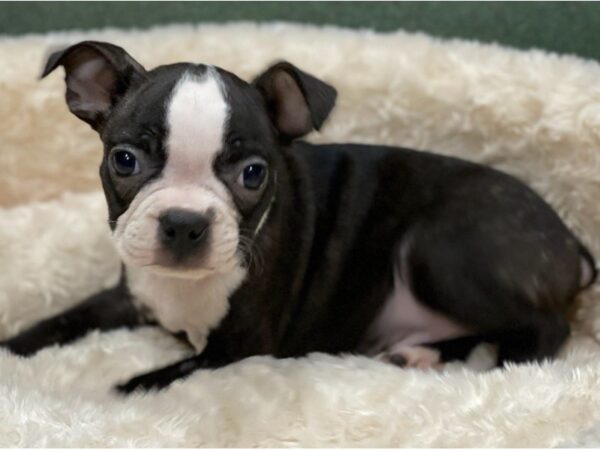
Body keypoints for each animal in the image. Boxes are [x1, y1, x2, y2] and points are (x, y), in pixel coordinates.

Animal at [3, 41, 596, 394]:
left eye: (252, 174)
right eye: (124, 160)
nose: (184, 222)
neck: (184, 287)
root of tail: (571, 242)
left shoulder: (238, 348)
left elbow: (144, 381)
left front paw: (103, 392)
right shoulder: (131, 294)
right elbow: (62, 320)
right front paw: (11, 350)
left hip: (440, 251)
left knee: (545, 327)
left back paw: (488, 374)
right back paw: (417, 356)